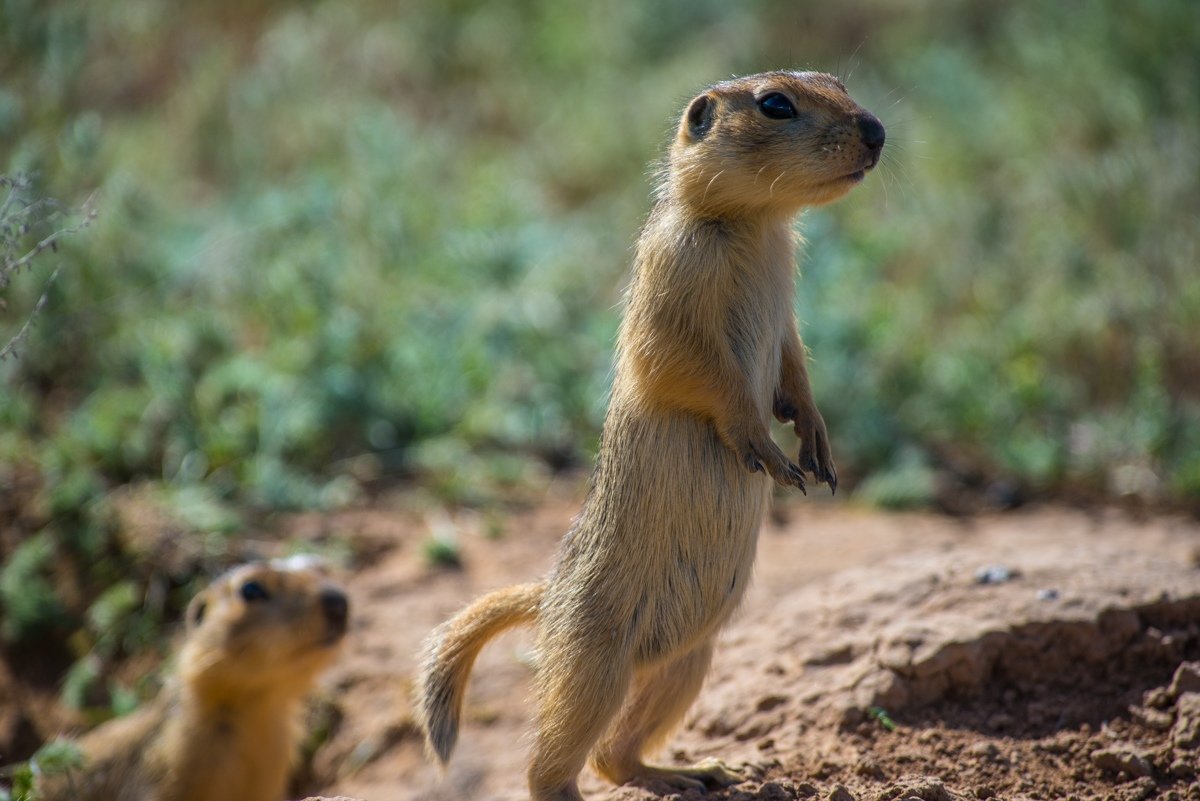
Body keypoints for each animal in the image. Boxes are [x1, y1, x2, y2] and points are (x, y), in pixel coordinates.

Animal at [417, 70, 888, 801]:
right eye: (775, 104)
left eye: (838, 81)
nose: (877, 131)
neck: (758, 227)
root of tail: (549, 599)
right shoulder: (672, 278)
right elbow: (689, 368)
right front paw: (767, 450)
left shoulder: (787, 304)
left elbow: (794, 363)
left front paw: (815, 441)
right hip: (596, 664)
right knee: (549, 764)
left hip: (687, 660)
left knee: (617, 751)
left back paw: (694, 770)